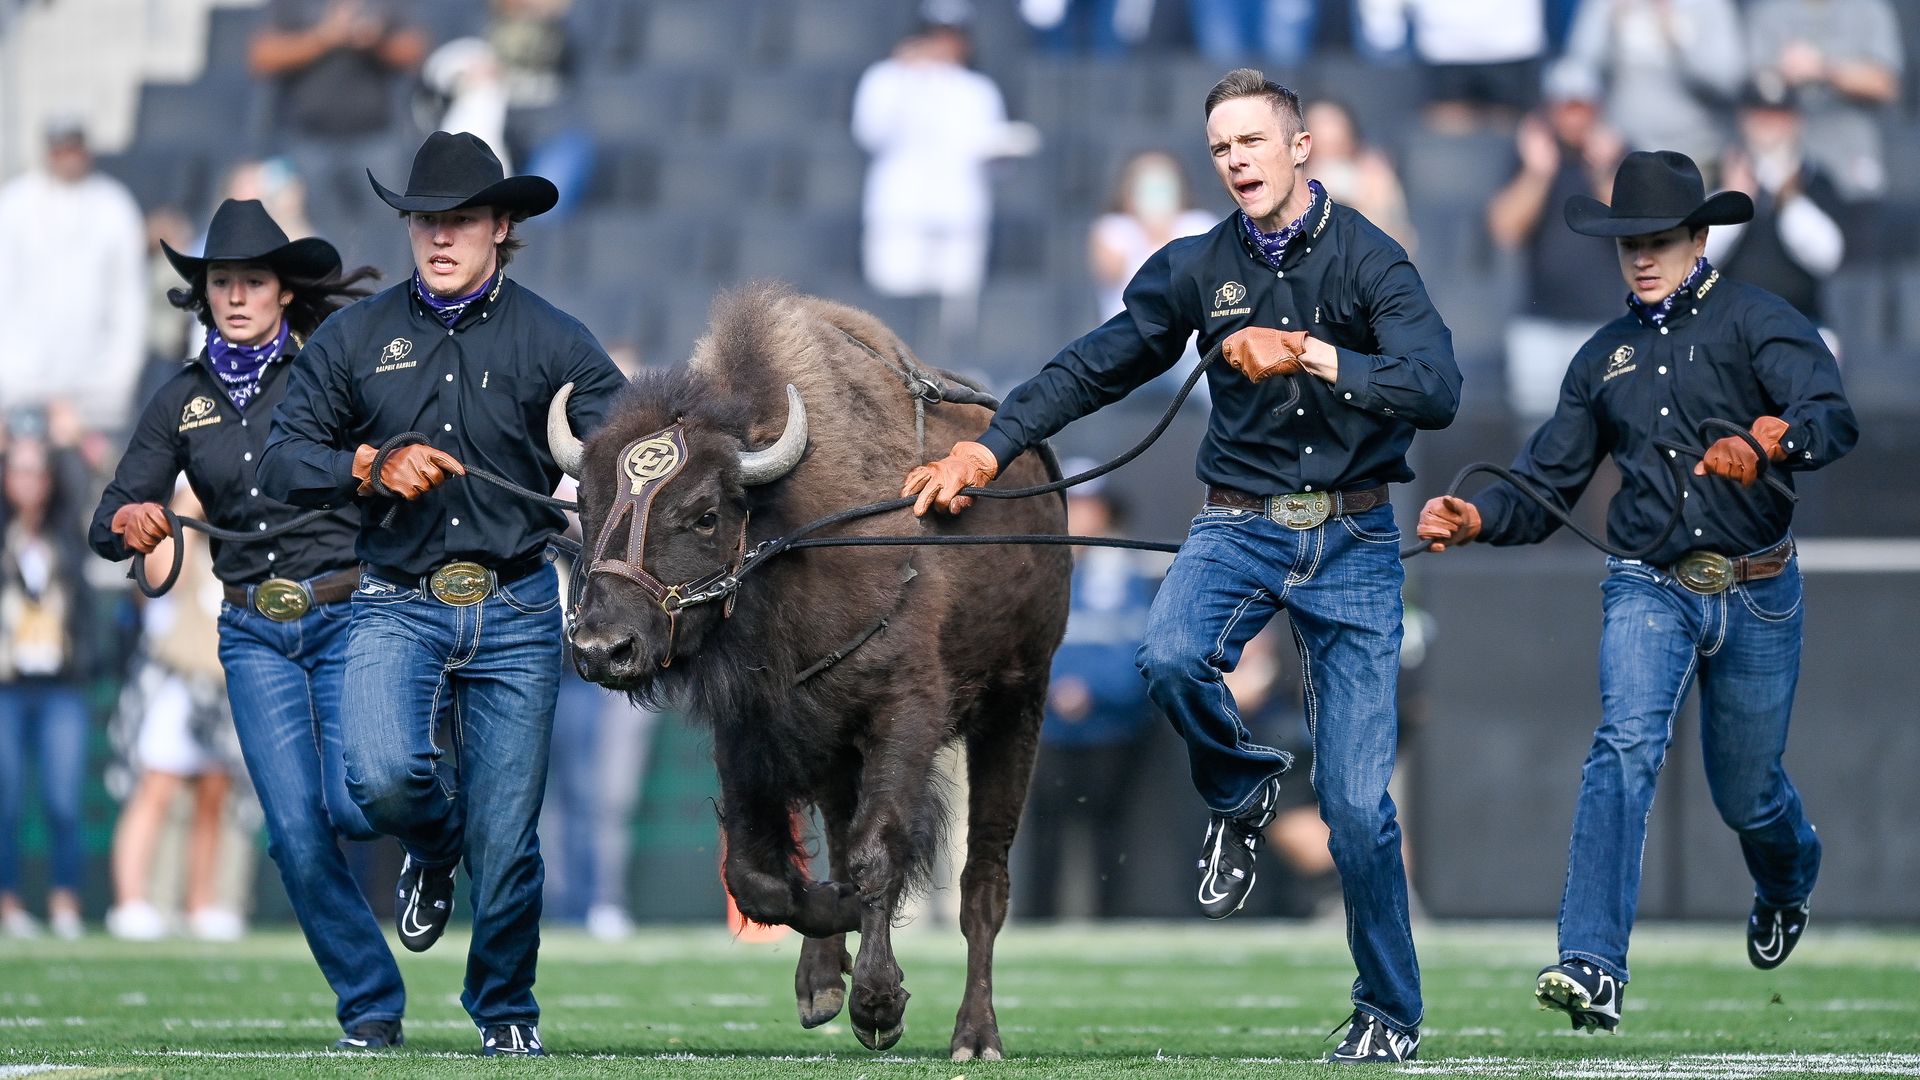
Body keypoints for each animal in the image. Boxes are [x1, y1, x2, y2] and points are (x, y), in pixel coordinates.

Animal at [548, 283, 1070, 1060]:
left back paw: (975, 1036)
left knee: (985, 881)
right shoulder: (755, 730)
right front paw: (835, 952)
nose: (600, 648)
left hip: (1016, 708)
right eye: (585, 503)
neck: (787, 534)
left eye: (705, 515)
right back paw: (823, 981)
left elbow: (879, 849)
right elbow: (761, 873)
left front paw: (880, 1005)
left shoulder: (904, 714)